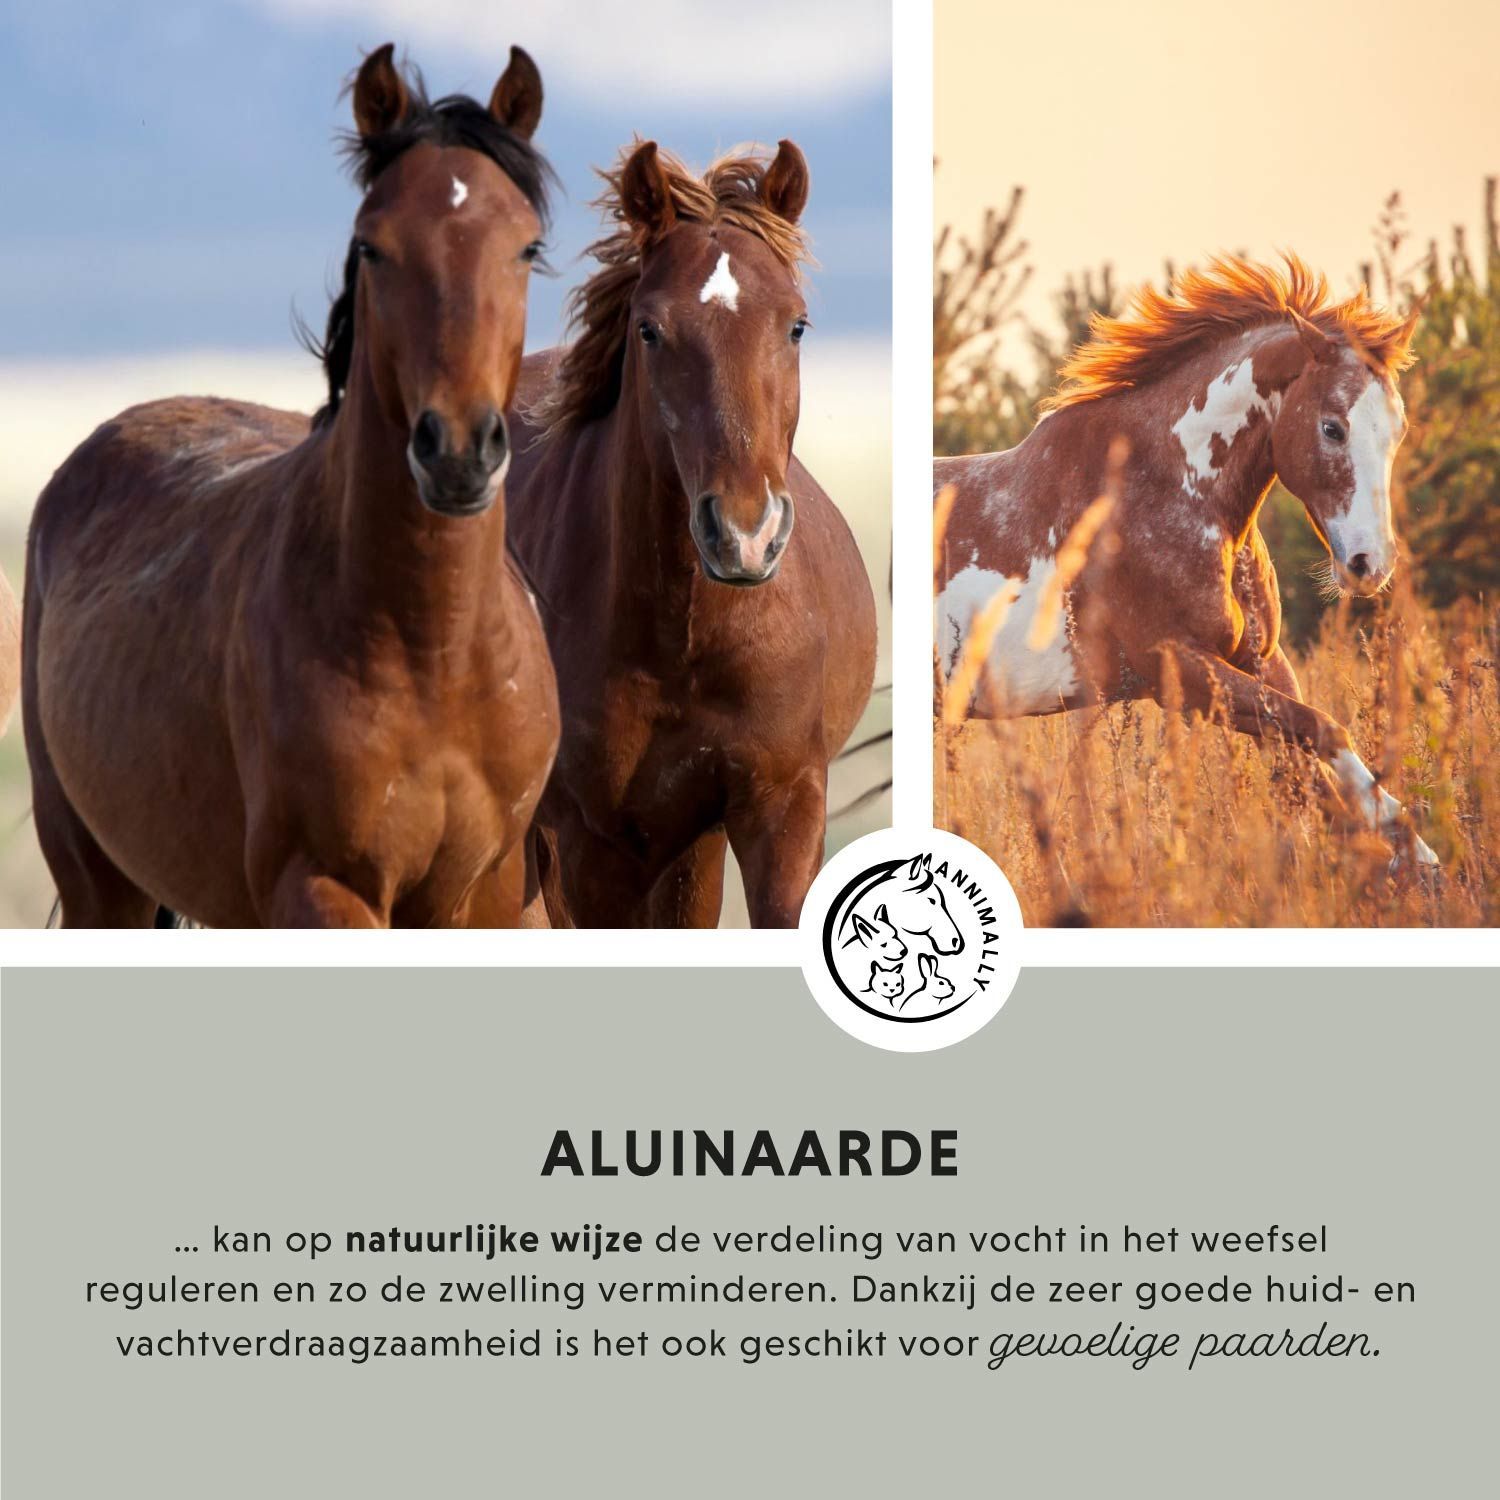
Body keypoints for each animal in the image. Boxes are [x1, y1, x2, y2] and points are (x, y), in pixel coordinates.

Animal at [23, 44, 561, 926]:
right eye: (372, 246)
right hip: (99, 879)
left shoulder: (485, 894)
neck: (435, 655)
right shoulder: (322, 887)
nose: (457, 452)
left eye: (526, 248)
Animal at [506, 139, 877, 927]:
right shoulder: (590, 844)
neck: (682, 636)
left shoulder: (780, 806)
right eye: (649, 329)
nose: (744, 533)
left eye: (795, 325)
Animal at [935, 255, 1437, 867]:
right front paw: (1410, 846)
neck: (1164, 489)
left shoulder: (1261, 660)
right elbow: (1324, 732)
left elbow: (1314, 773)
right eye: (1332, 427)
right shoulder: (1180, 669)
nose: (1371, 564)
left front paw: (1408, 856)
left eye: (1398, 430)